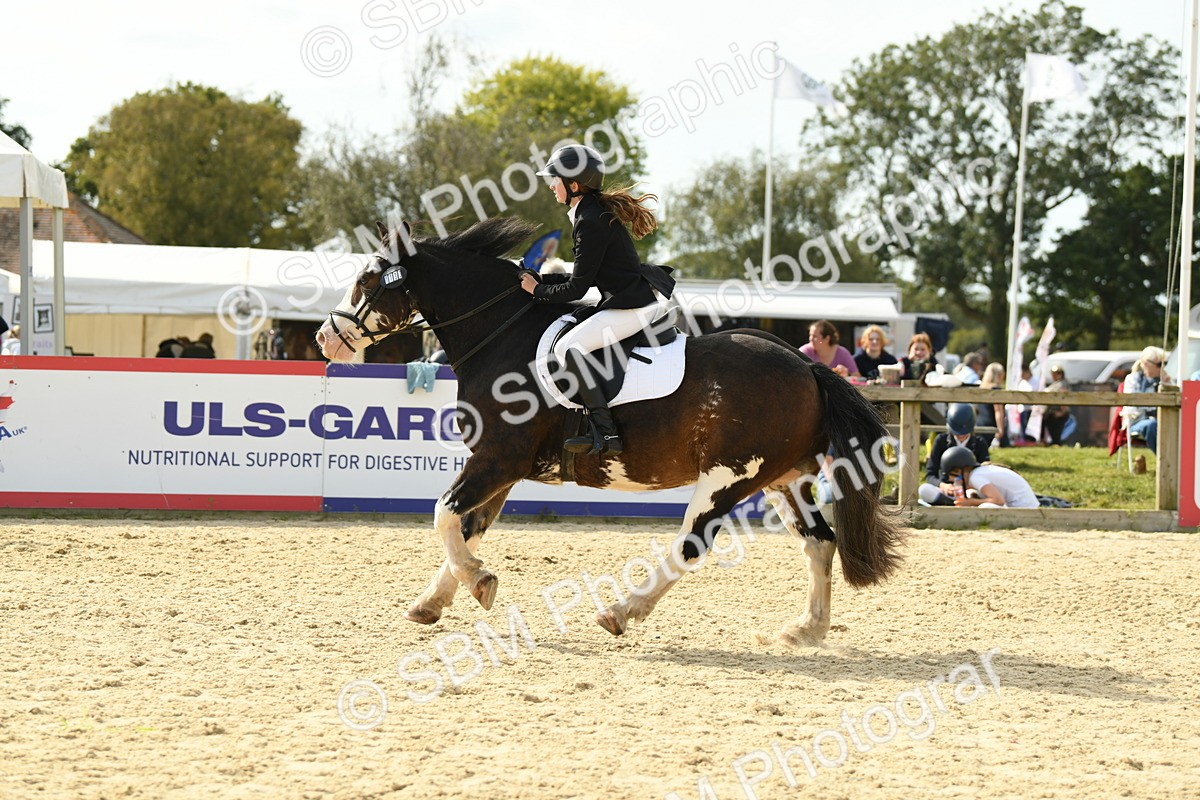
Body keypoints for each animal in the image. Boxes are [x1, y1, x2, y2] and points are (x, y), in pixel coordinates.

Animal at [315, 217, 905, 645]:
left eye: (367, 282)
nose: (325, 339)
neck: (502, 336)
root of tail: (805, 366)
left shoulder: (497, 459)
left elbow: (443, 516)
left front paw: (479, 581)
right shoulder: (501, 467)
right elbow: (466, 526)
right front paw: (432, 601)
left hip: (727, 478)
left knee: (691, 545)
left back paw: (621, 611)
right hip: (782, 479)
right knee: (820, 543)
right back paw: (807, 630)